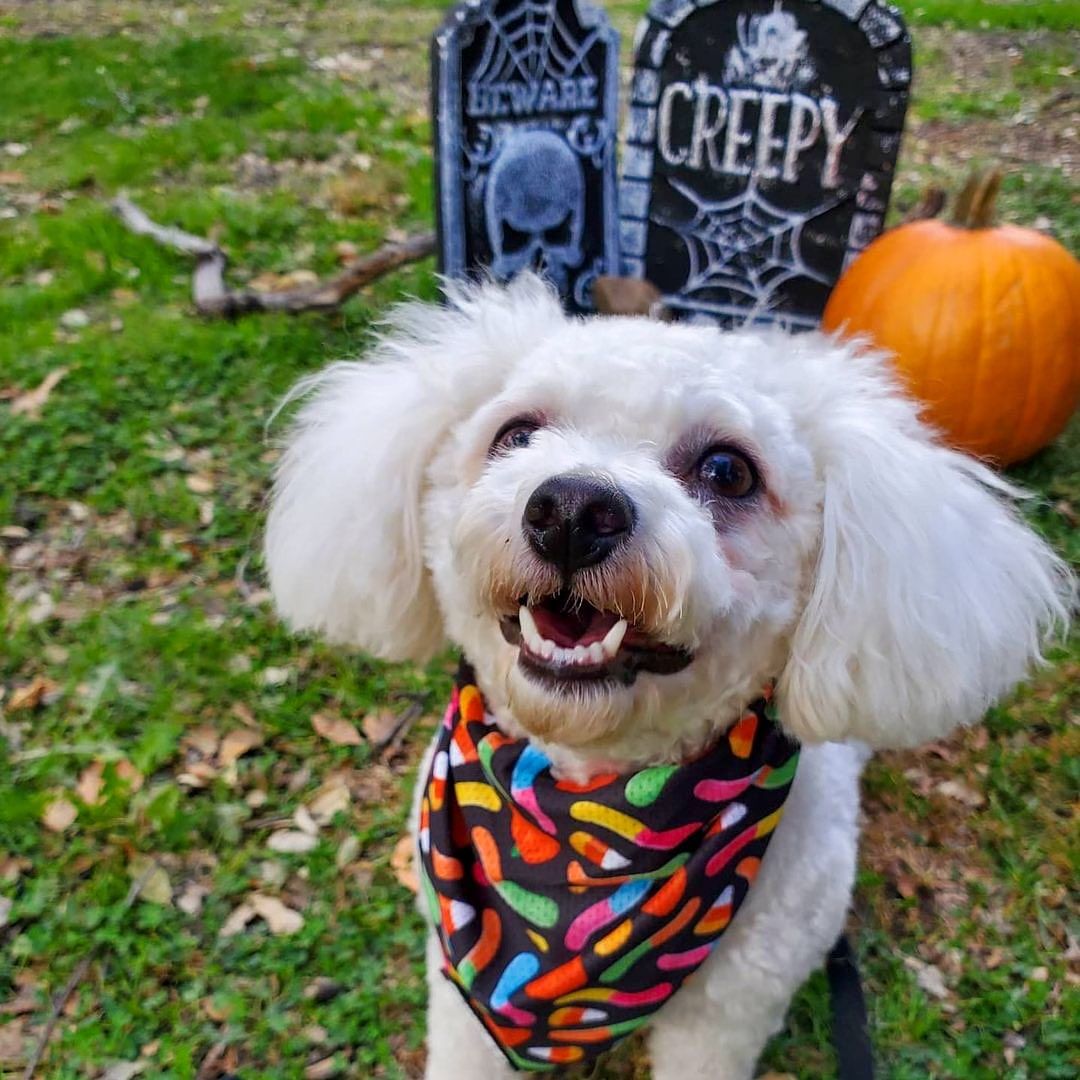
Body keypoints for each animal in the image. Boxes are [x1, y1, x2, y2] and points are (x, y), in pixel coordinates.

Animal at [263, 276, 1071, 1080]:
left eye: (728, 471)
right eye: (515, 435)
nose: (572, 510)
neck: (591, 810)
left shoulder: (728, 1009)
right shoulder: (460, 986)